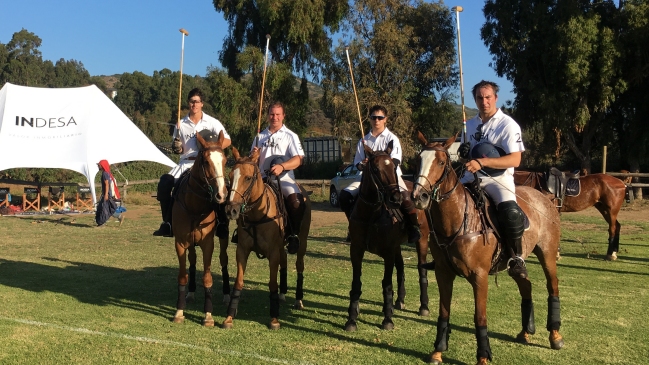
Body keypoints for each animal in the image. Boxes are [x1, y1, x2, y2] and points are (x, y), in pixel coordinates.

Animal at [172, 130, 230, 324]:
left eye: (225, 160)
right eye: (206, 162)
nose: (221, 195)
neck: (195, 207)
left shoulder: (207, 244)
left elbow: (207, 278)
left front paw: (208, 315)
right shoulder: (180, 243)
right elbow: (182, 276)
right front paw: (179, 311)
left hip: (224, 236)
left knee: (224, 259)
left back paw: (227, 294)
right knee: (192, 259)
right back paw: (190, 293)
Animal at [223, 146, 312, 330]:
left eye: (248, 178)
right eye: (230, 176)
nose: (230, 210)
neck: (257, 215)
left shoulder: (272, 253)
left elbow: (272, 284)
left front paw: (274, 319)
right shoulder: (242, 250)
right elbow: (239, 282)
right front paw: (229, 317)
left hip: (302, 241)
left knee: (299, 265)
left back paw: (298, 299)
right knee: (284, 260)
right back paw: (283, 294)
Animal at [344, 141, 430, 332]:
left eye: (394, 166)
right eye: (375, 169)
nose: (396, 198)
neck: (371, 214)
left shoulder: (388, 252)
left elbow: (387, 284)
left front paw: (388, 320)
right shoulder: (356, 250)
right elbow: (356, 283)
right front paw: (352, 319)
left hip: (422, 240)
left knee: (421, 269)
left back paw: (423, 307)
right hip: (397, 246)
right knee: (402, 268)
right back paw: (399, 301)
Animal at [412, 134, 564, 364]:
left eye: (441, 162)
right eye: (418, 159)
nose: (419, 196)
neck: (457, 220)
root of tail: (545, 197)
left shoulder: (479, 275)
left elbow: (480, 317)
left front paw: (483, 356)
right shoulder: (443, 272)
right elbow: (444, 312)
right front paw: (438, 351)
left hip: (547, 253)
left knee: (552, 286)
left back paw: (555, 336)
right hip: (516, 262)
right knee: (526, 285)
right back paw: (525, 331)